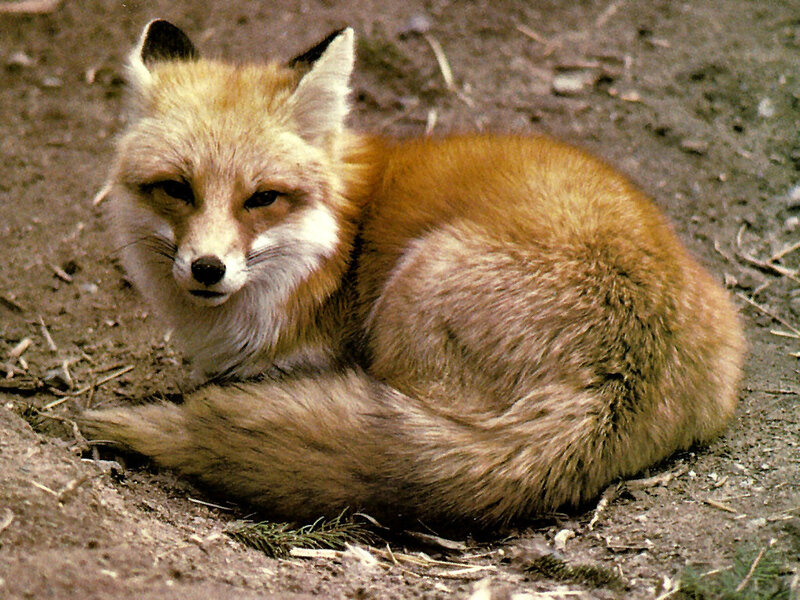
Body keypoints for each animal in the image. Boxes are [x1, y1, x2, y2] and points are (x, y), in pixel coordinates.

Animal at [81, 20, 744, 528]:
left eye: (262, 198)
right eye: (176, 189)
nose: (208, 268)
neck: (333, 250)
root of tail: (616, 380)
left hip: (413, 296)